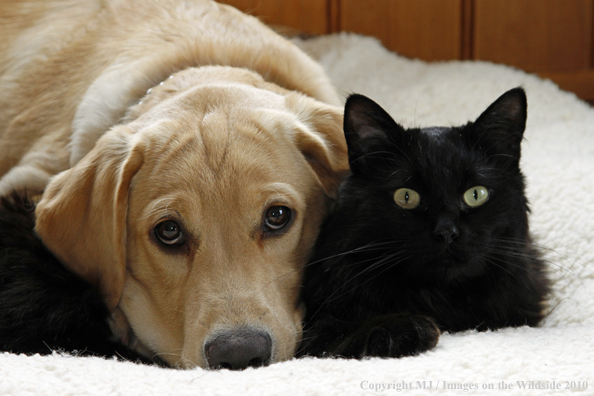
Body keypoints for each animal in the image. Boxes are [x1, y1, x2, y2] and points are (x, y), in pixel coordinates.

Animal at [298, 89, 548, 358]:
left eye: (476, 194)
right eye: (406, 197)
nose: (446, 232)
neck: (440, 299)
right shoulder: (314, 332)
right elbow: (339, 332)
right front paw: (409, 328)